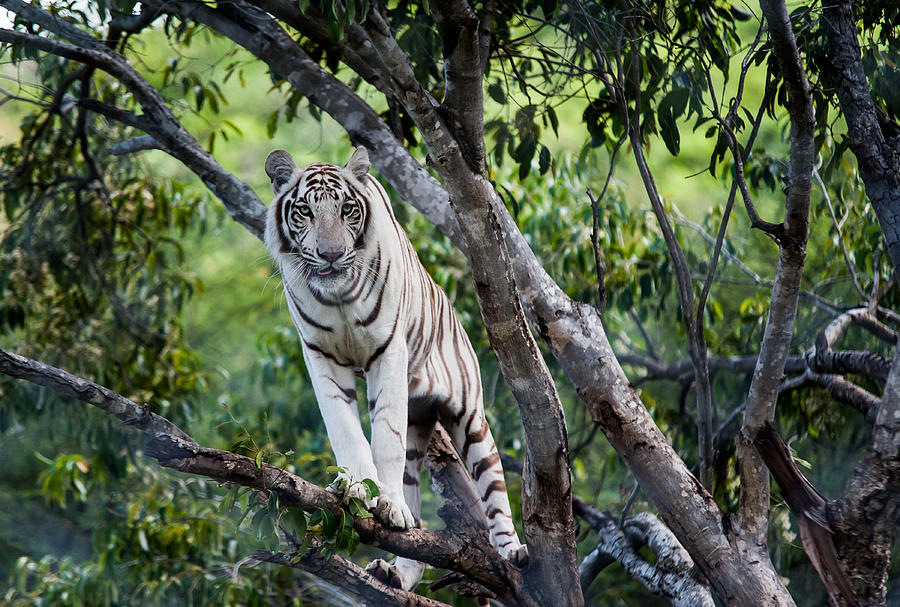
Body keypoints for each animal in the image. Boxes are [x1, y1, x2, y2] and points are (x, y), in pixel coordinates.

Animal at [260, 146, 528, 588]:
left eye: (347, 209)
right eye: (305, 212)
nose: (331, 255)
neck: (338, 298)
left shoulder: (388, 351)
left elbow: (385, 435)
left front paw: (385, 503)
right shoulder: (320, 355)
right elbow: (345, 429)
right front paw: (356, 489)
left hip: (470, 417)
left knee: (493, 486)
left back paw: (513, 550)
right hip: (418, 421)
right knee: (414, 514)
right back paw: (396, 574)